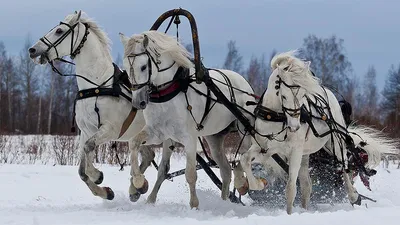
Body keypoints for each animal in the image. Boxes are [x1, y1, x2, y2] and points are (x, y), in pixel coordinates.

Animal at [28, 9, 180, 201]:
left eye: (59, 31)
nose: (32, 50)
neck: (97, 85)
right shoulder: (86, 131)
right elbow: (81, 170)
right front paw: (105, 191)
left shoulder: (110, 130)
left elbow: (89, 148)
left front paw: (97, 175)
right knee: (147, 155)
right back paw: (136, 188)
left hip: (167, 137)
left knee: (163, 168)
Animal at [119, 30, 256, 208]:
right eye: (126, 68)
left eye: (143, 66)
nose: (138, 102)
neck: (168, 92)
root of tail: (245, 83)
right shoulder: (158, 133)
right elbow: (138, 146)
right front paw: (141, 186)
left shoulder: (189, 138)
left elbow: (190, 174)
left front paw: (194, 205)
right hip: (214, 138)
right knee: (226, 169)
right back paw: (224, 201)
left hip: (244, 129)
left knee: (246, 156)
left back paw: (242, 183)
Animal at [239, 51, 398, 214]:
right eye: (283, 96)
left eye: (303, 94)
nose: (295, 126)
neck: (276, 117)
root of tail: (327, 92)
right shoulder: (265, 148)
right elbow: (244, 159)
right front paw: (257, 184)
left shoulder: (294, 151)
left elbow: (290, 188)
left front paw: (289, 214)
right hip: (305, 154)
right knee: (306, 185)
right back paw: (305, 209)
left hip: (335, 144)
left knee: (344, 168)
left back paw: (354, 196)